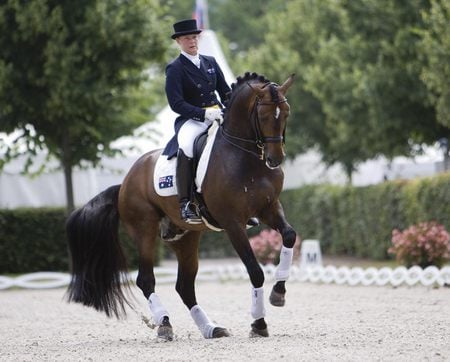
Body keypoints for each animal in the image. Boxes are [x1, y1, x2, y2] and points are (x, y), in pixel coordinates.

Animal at [66, 72, 298, 340]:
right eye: (263, 115)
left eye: (286, 112)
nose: (275, 159)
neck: (247, 159)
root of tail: (125, 182)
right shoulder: (232, 223)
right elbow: (255, 270)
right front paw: (259, 323)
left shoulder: (269, 208)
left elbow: (290, 236)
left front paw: (278, 293)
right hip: (144, 230)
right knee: (146, 280)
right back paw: (165, 324)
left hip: (185, 237)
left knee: (184, 286)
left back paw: (211, 328)